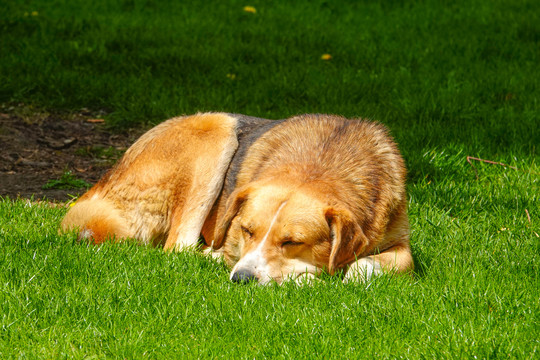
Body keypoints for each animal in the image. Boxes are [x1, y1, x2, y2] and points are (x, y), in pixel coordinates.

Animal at [60, 112, 414, 284]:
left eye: (291, 242)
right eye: (246, 230)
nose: (241, 279)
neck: (322, 163)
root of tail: (104, 181)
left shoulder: (404, 246)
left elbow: (367, 266)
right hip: (216, 131)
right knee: (179, 247)